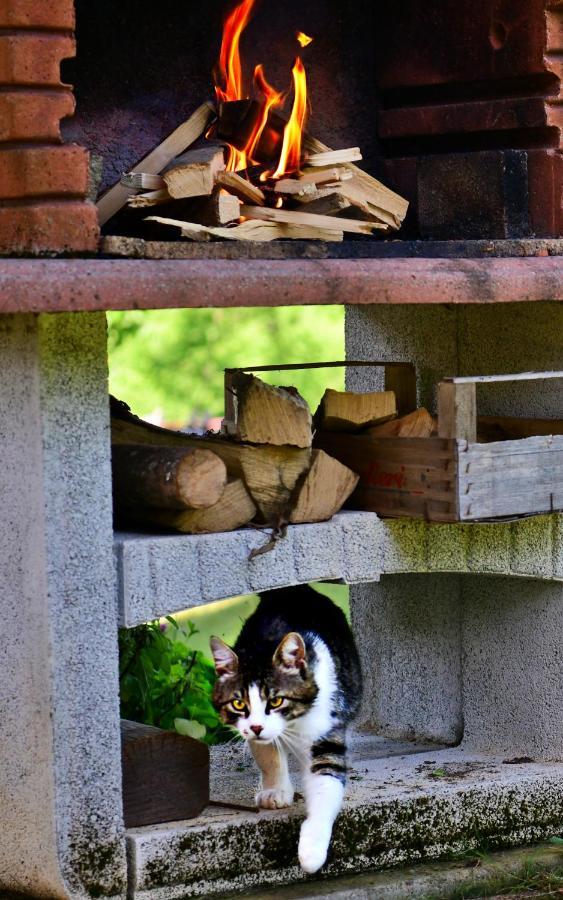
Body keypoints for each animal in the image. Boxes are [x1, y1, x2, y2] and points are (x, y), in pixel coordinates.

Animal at [210, 584, 362, 872]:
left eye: (276, 700)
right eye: (239, 703)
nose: (257, 726)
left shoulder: (329, 725)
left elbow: (326, 781)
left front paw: (312, 850)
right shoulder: (257, 734)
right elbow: (268, 755)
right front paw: (276, 792)